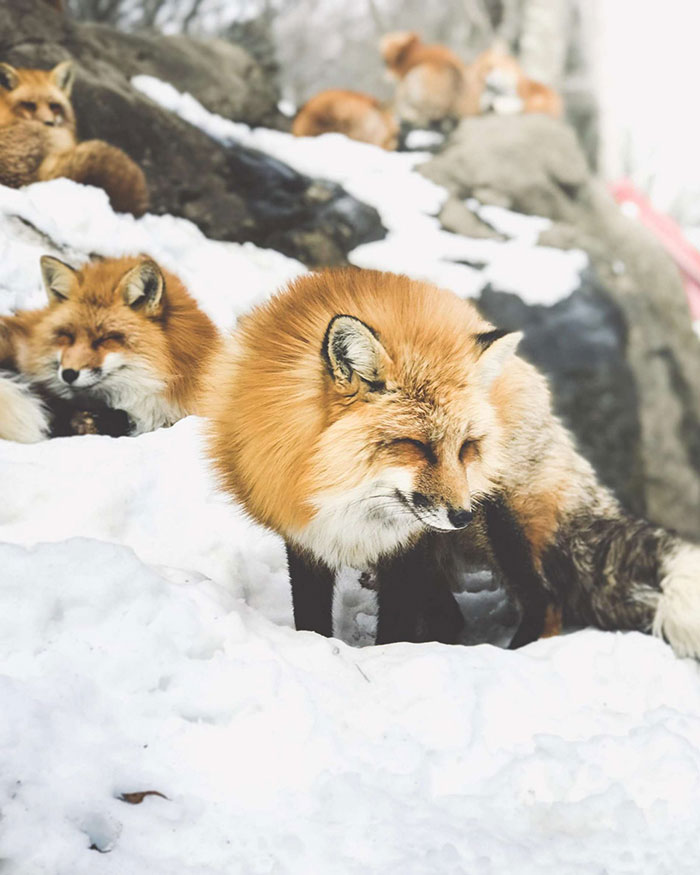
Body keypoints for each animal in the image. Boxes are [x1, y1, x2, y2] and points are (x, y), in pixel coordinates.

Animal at [205, 269, 700, 657]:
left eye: (466, 447)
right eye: (415, 445)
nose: (461, 515)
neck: (353, 504)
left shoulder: (410, 546)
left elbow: (396, 627)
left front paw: (388, 663)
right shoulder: (305, 532)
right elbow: (311, 618)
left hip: (502, 519)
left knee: (545, 602)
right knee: (455, 616)